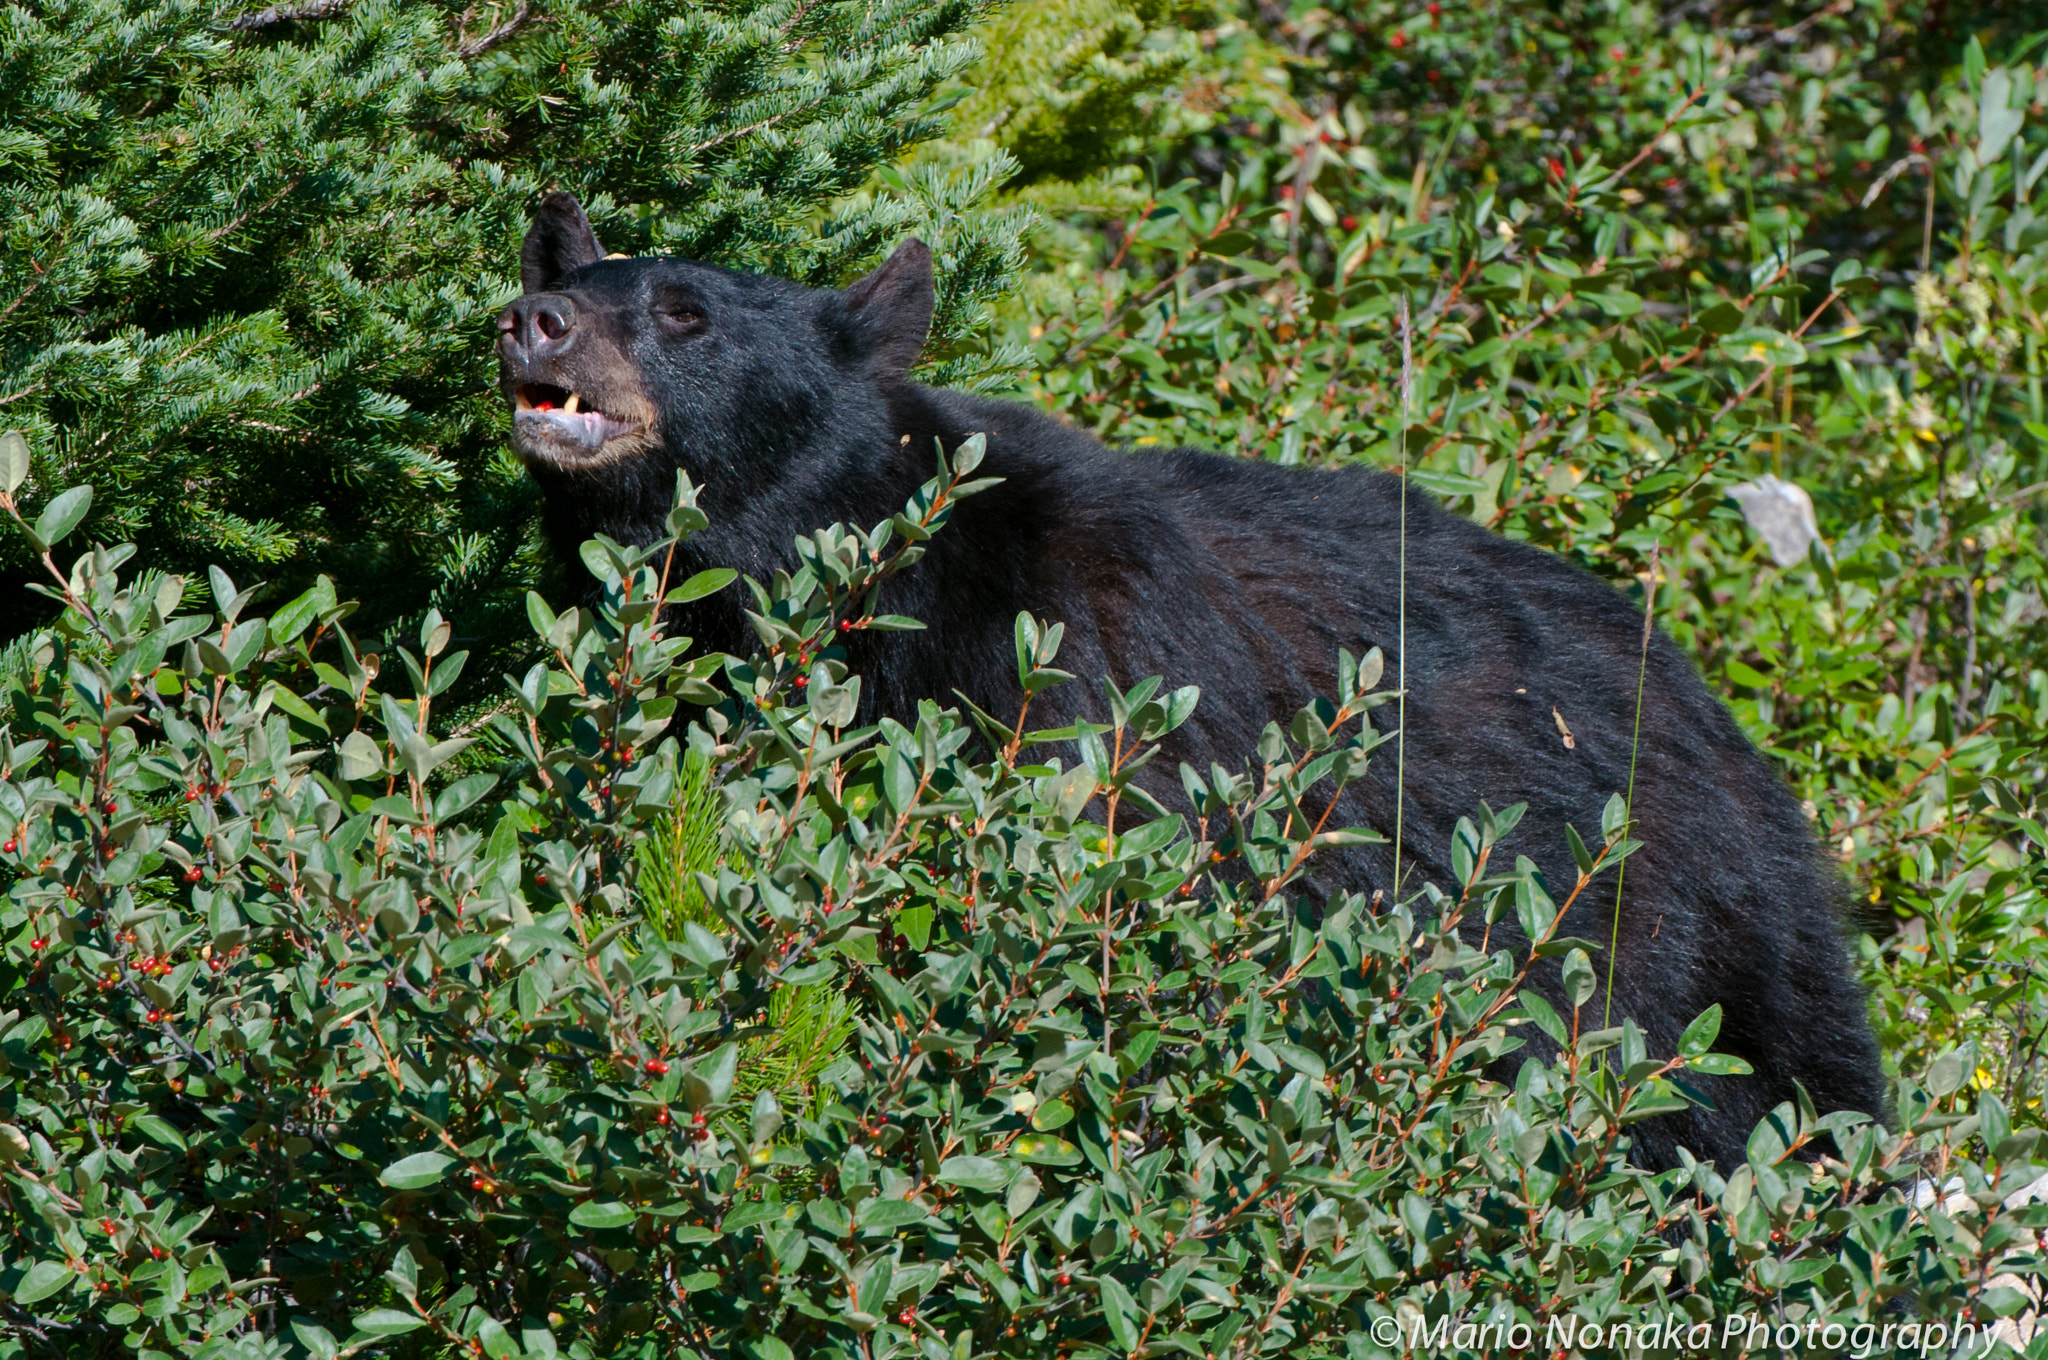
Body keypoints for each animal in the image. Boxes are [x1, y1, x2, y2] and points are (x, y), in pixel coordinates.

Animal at [498, 191, 1887, 1170]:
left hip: (1674, 919)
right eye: (569, 280)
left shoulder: (1067, 687)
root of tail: (1710, 704)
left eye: (686, 312)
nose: (530, 321)